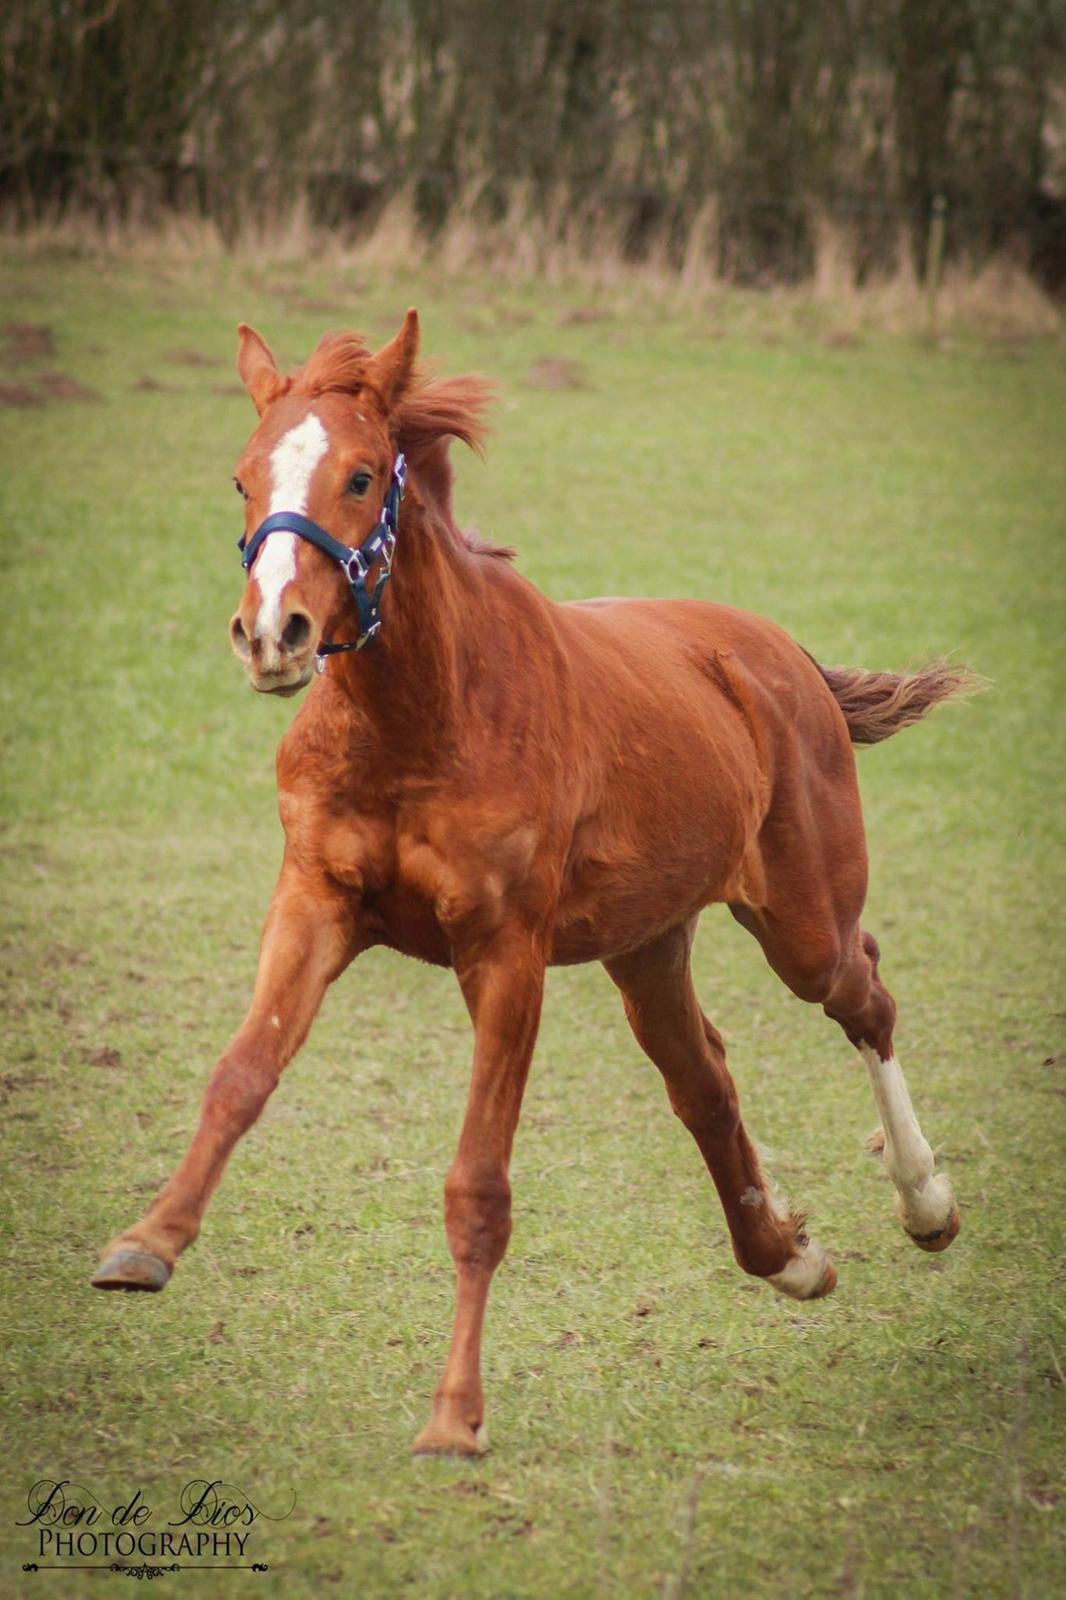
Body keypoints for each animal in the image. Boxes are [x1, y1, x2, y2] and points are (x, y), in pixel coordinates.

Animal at [95, 308, 966, 1452]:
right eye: (242, 478)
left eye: (363, 476)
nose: (272, 633)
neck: (422, 719)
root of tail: (783, 658)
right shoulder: (315, 902)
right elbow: (241, 1074)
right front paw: (146, 1243)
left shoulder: (505, 953)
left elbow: (479, 1184)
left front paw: (454, 1417)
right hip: (648, 948)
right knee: (704, 1078)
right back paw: (789, 1253)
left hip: (799, 924)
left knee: (863, 995)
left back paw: (923, 1203)